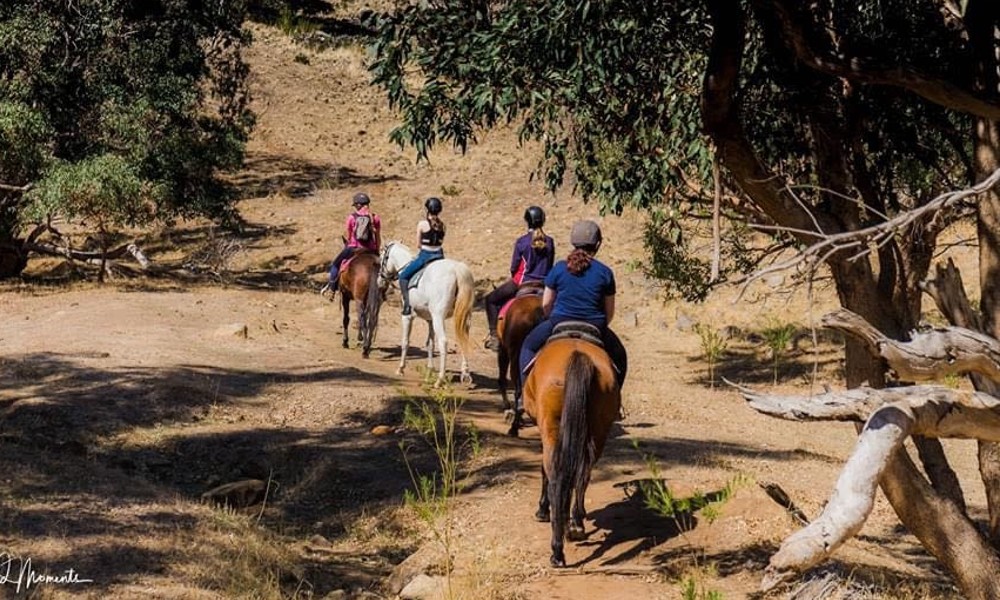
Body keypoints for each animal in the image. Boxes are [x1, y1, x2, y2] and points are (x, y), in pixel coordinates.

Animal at [378, 240, 476, 384]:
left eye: (382, 259)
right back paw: (465, 374)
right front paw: (429, 370)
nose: (380, 281)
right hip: (463, 318)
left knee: (443, 342)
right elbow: (430, 343)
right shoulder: (430, 320)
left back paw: (440, 379)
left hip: (439, 317)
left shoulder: (408, 316)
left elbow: (405, 342)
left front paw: (401, 368)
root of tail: (456, 269)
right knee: (462, 339)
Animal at [520, 338, 620, 568]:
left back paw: (557, 550)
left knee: (556, 477)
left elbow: (544, 472)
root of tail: (577, 355)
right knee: (582, 475)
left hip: (551, 429)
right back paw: (575, 525)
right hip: (599, 431)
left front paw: (541, 511)